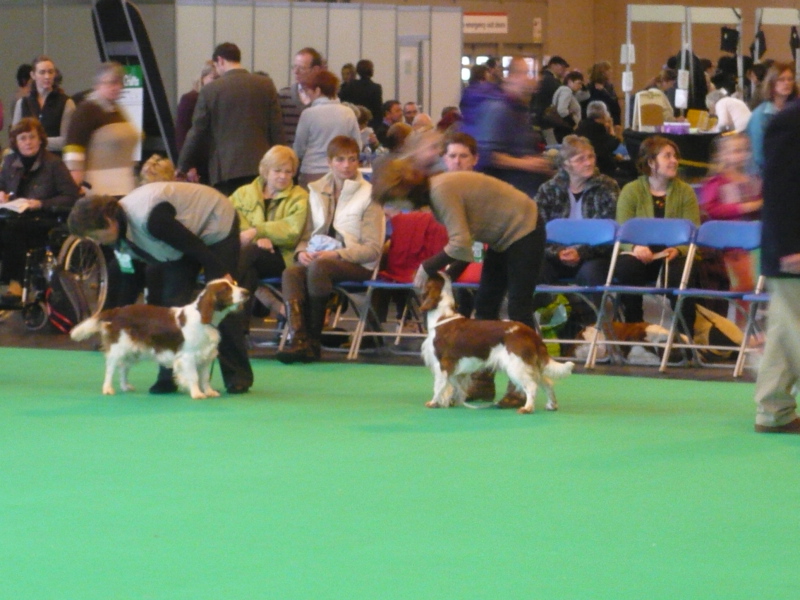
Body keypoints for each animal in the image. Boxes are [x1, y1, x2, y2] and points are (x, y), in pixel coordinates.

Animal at [70, 278, 248, 400]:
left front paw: (209, 392)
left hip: (133, 351)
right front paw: (197, 393)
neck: (204, 320)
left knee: (123, 369)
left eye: (234, 283)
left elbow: (204, 378)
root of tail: (117, 311)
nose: (246, 292)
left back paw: (125, 386)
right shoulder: (188, 357)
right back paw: (108, 389)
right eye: (226, 289)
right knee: (111, 368)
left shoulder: (206, 357)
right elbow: (194, 377)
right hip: (118, 348)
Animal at [418, 274, 576, 414]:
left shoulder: (442, 363)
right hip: (530, 365)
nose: (441, 272)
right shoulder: (457, 368)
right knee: (546, 382)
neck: (442, 317)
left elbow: (439, 385)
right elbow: (454, 385)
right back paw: (551, 405)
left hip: (516, 364)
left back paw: (527, 408)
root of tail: (530, 333)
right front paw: (451, 401)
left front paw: (434, 402)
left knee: (532, 385)